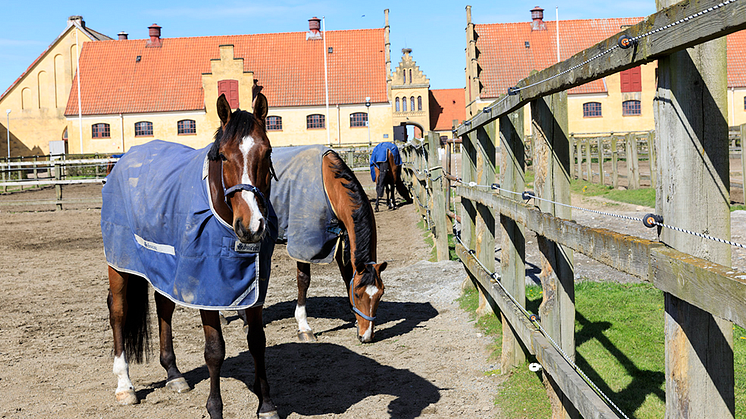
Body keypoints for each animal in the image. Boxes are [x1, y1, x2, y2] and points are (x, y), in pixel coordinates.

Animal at [100, 94, 280, 419]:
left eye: (267, 151)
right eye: (223, 156)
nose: (251, 226)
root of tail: (123, 159)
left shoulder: (255, 289)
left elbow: (257, 341)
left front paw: (266, 404)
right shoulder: (205, 289)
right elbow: (215, 350)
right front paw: (215, 409)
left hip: (164, 265)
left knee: (163, 307)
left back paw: (174, 374)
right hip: (119, 264)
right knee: (118, 311)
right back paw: (125, 386)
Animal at [256, 146, 386, 342]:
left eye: (380, 294)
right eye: (358, 294)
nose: (366, 336)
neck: (329, 185)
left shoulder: (340, 243)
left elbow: (347, 276)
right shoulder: (304, 245)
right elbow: (303, 280)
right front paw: (303, 327)